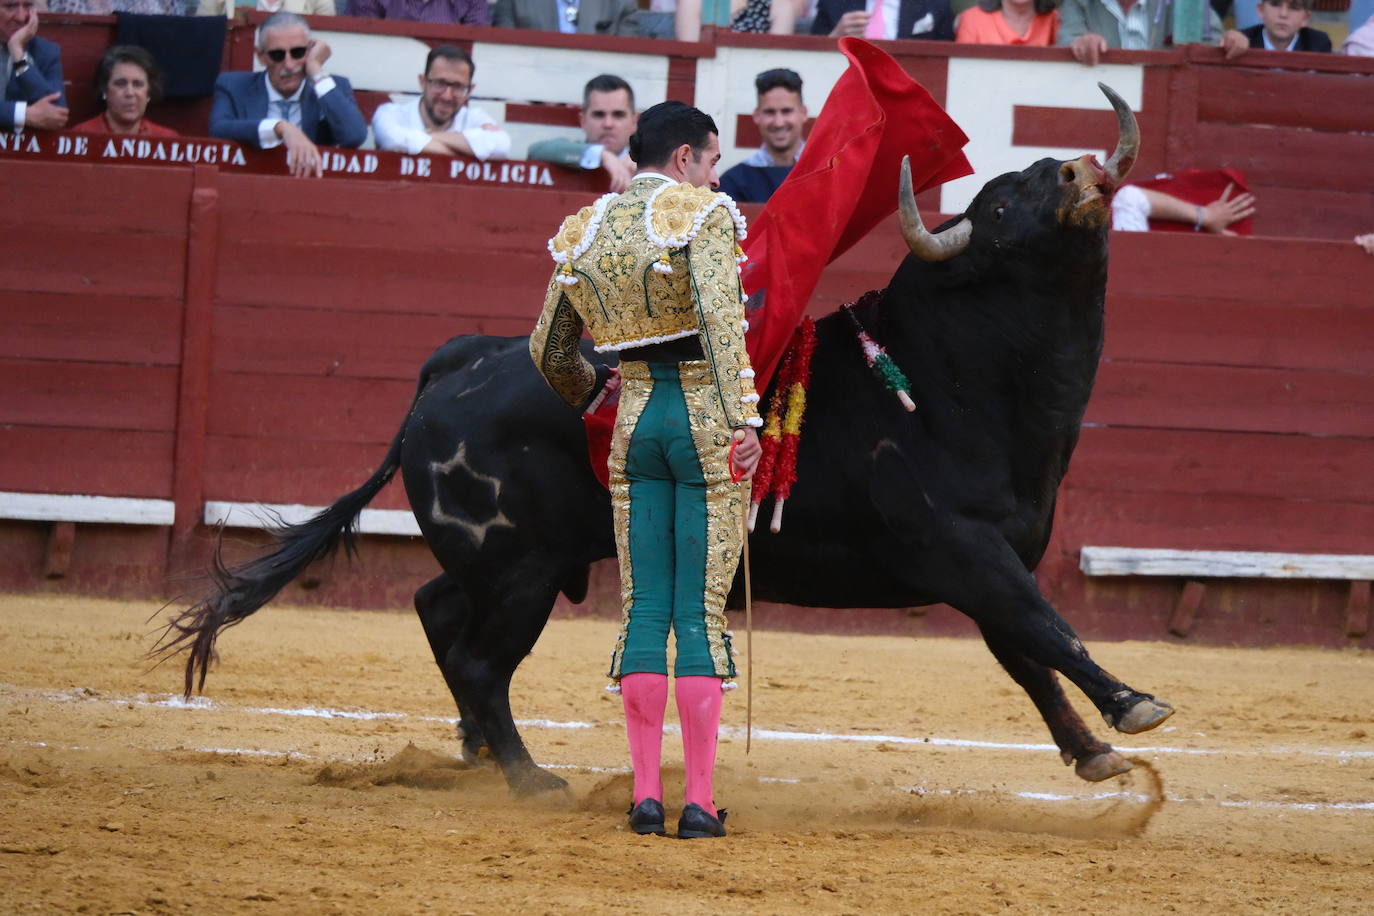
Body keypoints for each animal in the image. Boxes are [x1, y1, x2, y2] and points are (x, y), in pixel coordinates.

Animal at [158, 85, 1170, 796]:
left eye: (1037, 176)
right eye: (997, 211)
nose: (1079, 174)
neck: (950, 374)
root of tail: (456, 365)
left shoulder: (996, 560)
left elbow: (1029, 654)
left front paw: (1093, 752)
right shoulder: (963, 550)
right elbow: (1049, 630)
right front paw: (1134, 707)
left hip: (502, 558)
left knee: (436, 612)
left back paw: (478, 751)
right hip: (522, 567)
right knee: (481, 657)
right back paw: (530, 777)